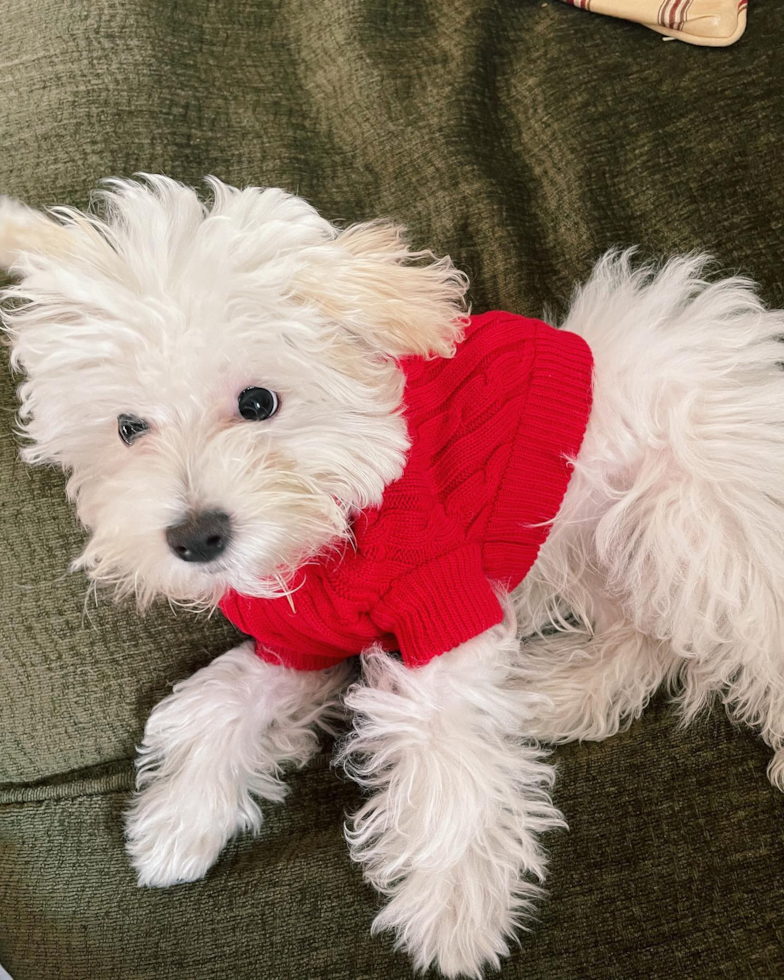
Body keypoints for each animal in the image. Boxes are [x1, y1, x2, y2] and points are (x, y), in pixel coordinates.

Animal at [1, 178, 784, 980]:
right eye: (128, 427)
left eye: (258, 403)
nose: (196, 536)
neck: (336, 535)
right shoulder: (298, 643)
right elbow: (222, 700)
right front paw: (180, 820)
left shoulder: (443, 609)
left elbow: (449, 758)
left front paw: (454, 913)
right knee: (648, 640)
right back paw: (550, 694)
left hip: (688, 519)